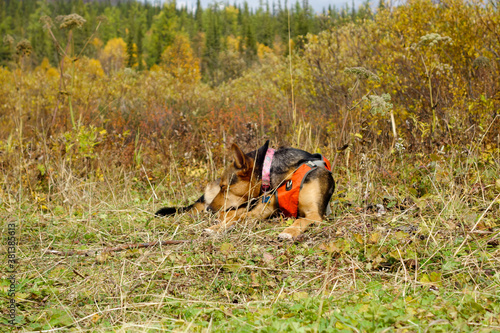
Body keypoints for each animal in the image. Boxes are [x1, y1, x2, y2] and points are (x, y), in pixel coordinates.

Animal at [155, 140, 336, 239]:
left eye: (224, 187)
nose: (209, 209)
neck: (288, 176)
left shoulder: (315, 214)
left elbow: (300, 220)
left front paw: (289, 232)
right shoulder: (260, 210)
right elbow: (238, 218)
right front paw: (216, 229)